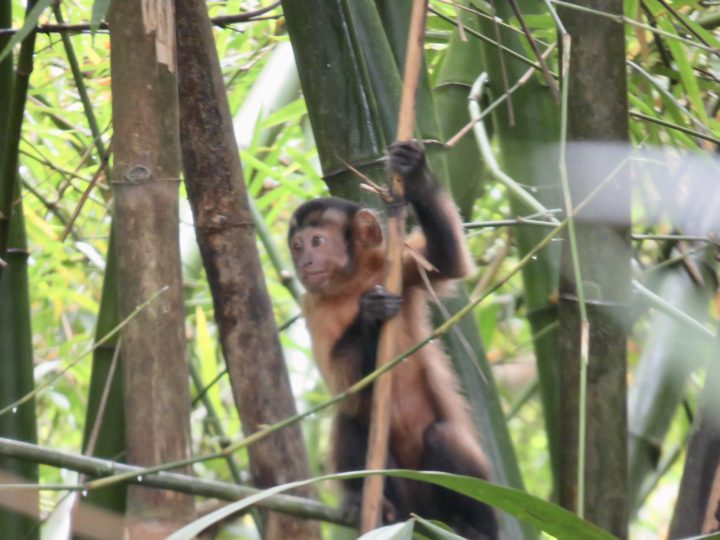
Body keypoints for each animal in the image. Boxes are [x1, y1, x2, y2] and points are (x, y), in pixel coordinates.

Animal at [288, 141, 498, 540]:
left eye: (316, 241)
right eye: (296, 246)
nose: (305, 262)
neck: (351, 282)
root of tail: (420, 518)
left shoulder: (396, 262)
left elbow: (447, 263)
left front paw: (414, 174)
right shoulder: (313, 304)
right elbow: (342, 385)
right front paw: (370, 316)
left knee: (442, 435)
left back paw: (475, 527)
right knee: (354, 421)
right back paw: (375, 508)